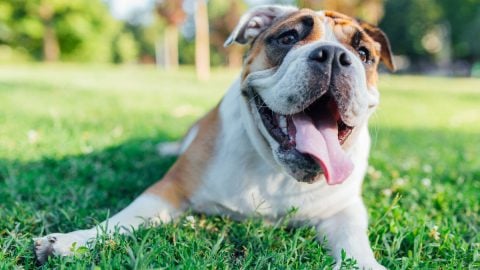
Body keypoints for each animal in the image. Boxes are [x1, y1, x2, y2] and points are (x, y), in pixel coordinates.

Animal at [33, 5, 396, 268]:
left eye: (364, 54)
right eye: (288, 37)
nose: (333, 55)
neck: (274, 170)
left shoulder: (343, 208)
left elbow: (353, 240)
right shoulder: (170, 189)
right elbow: (125, 218)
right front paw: (73, 241)